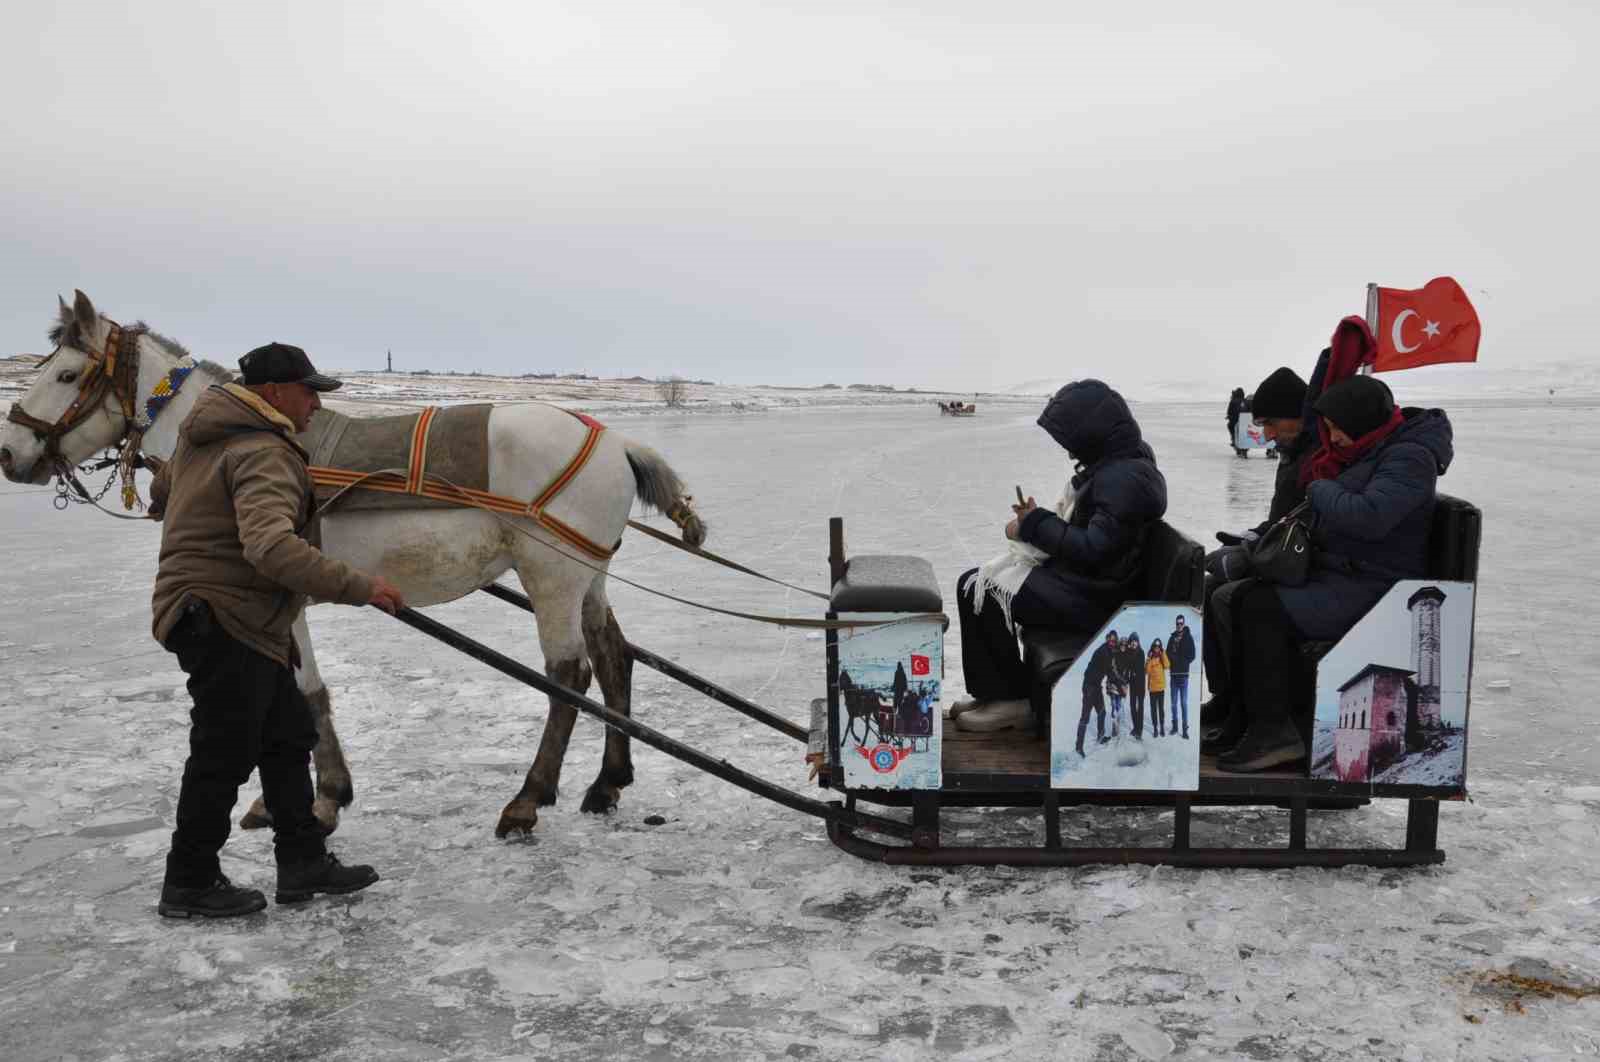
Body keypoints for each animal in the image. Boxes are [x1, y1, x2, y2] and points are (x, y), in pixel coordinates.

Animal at [0, 291, 713, 838]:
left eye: (66, 376)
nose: (9, 453)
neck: (237, 432)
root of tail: (617, 440)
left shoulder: (278, 595)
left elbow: (308, 695)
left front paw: (324, 799)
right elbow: (299, 696)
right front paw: (301, 797)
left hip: (551, 578)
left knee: (570, 675)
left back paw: (528, 799)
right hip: (586, 576)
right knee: (616, 656)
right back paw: (608, 781)